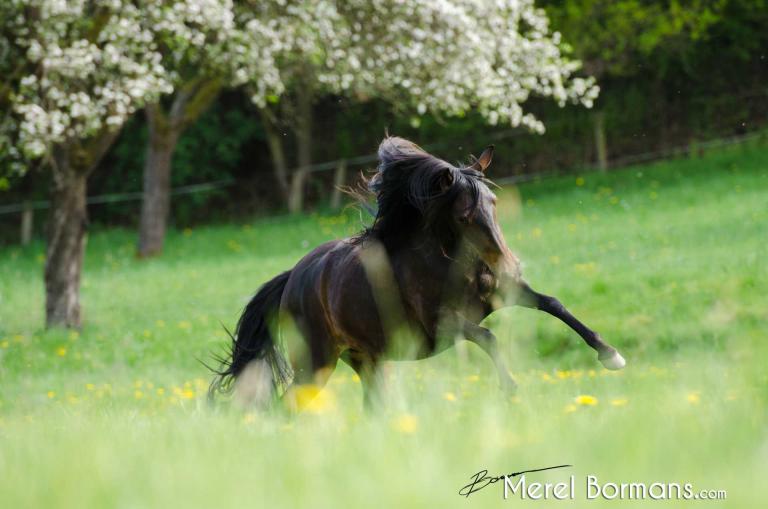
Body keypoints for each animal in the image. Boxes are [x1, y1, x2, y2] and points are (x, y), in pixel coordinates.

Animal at [209, 136, 625, 408]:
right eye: (464, 215)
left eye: (493, 201)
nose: (508, 264)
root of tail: (293, 279)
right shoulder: (444, 325)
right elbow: (488, 337)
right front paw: (511, 388)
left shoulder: (502, 295)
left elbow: (553, 304)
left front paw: (610, 354)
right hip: (316, 361)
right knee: (290, 405)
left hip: (366, 361)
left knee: (371, 407)